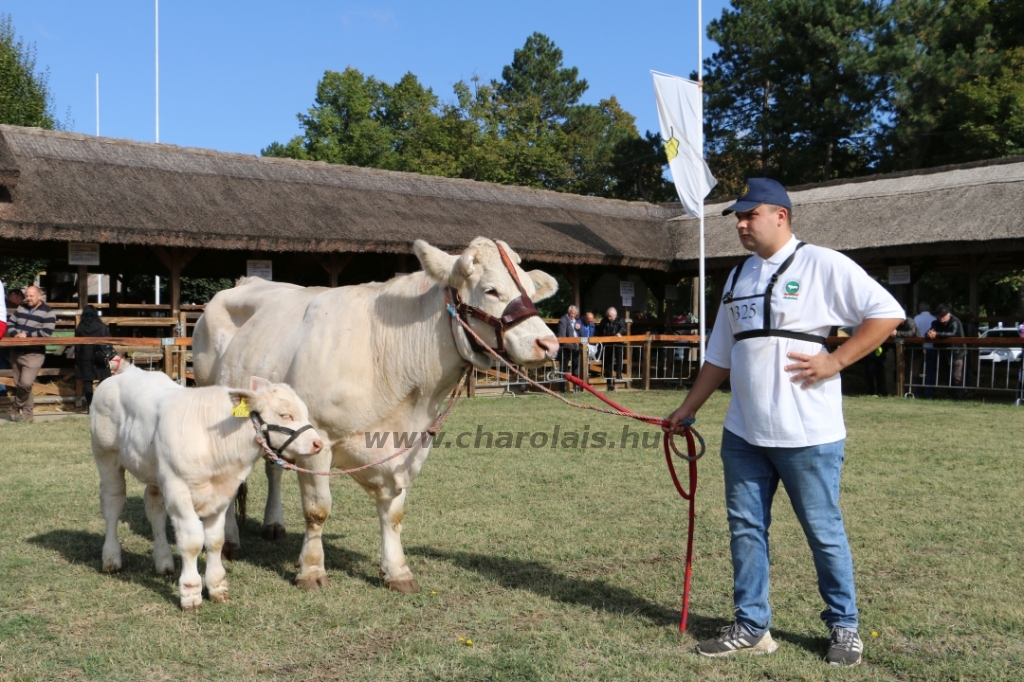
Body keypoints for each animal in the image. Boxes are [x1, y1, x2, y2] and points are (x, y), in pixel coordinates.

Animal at [93, 364, 323, 606]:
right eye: (285, 415)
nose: (318, 443)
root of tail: (128, 371)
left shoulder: (221, 494)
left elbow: (215, 540)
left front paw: (216, 586)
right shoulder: (178, 490)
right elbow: (192, 541)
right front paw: (190, 592)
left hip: (155, 472)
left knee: (154, 507)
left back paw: (163, 561)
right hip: (106, 457)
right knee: (113, 503)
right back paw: (111, 559)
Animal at [192, 236, 561, 585]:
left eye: (530, 291)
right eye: (491, 290)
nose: (548, 344)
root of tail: (246, 281)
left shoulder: (408, 448)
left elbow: (393, 513)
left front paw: (397, 571)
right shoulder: (318, 441)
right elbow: (317, 510)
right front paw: (311, 570)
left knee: (274, 469)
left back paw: (272, 524)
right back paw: (231, 541)